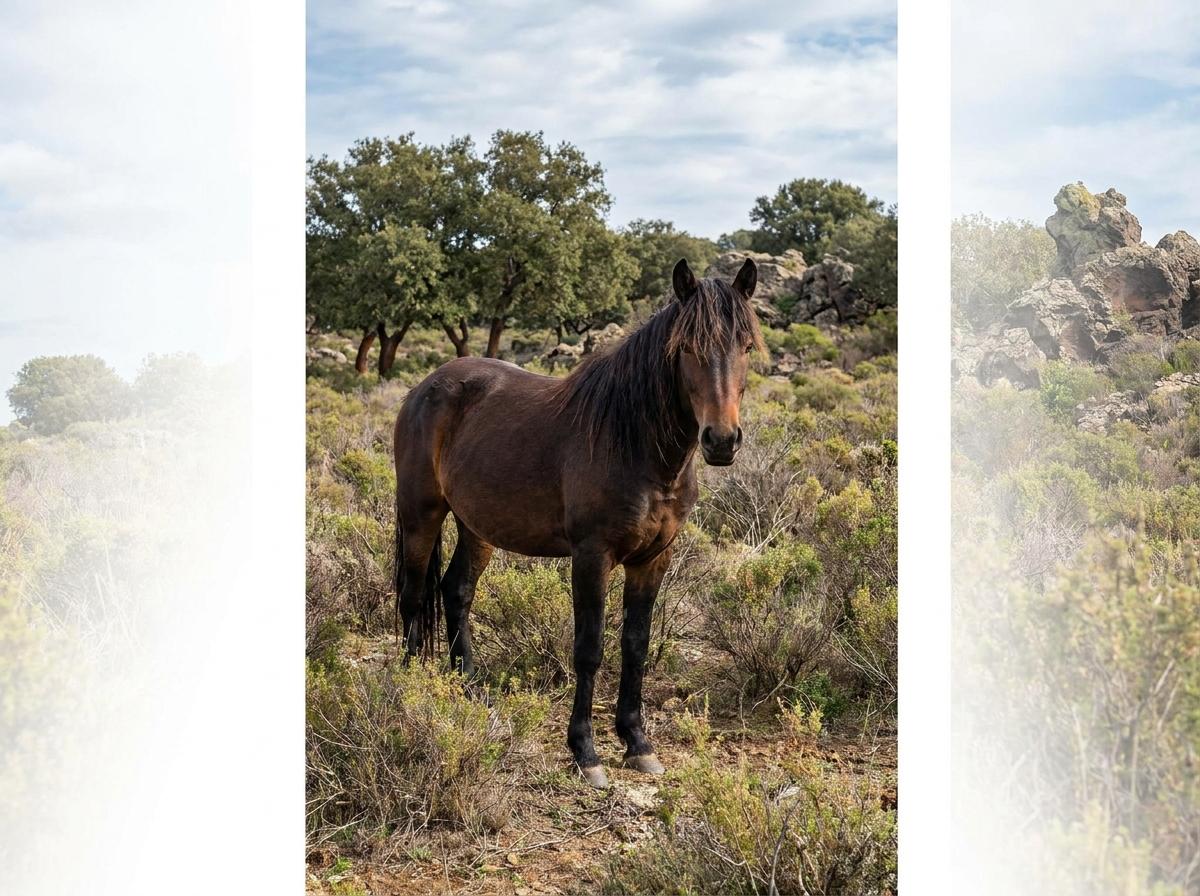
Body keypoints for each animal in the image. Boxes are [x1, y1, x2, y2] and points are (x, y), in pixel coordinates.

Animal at [393, 257, 762, 787]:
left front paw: (637, 743)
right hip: (420, 514)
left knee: (456, 591)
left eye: (747, 347)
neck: (634, 443)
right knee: (413, 593)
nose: (722, 440)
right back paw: (411, 685)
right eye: (687, 348)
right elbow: (589, 648)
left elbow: (635, 645)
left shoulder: (653, 558)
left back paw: (472, 688)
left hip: (476, 526)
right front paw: (586, 752)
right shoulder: (592, 556)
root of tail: (426, 386)